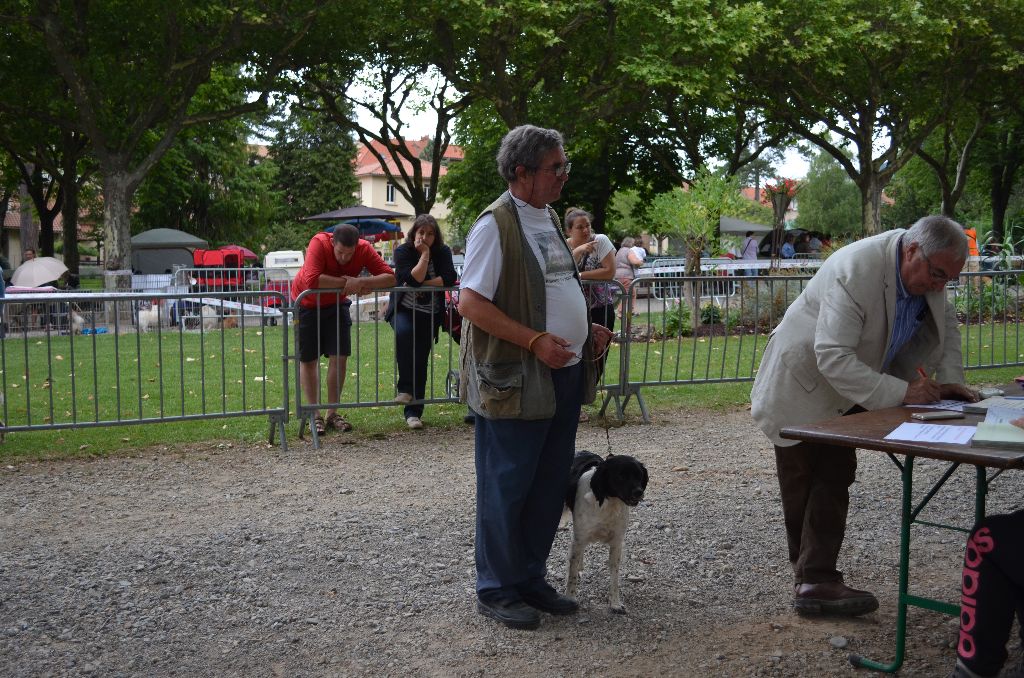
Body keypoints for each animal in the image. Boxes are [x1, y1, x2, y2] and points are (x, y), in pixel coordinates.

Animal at [561, 450, 647, 614]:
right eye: (621, 476)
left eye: (639, 476)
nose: (639, 492)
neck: (608, 502)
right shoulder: (579, 538)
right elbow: (572, 576)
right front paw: (570, 598)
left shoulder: (616, 543)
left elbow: (614, 578)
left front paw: (615, 604)